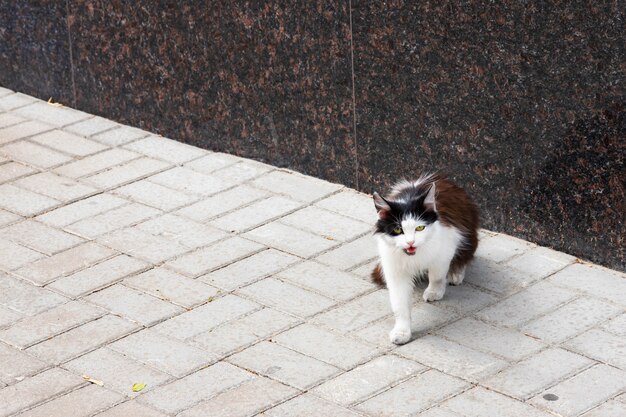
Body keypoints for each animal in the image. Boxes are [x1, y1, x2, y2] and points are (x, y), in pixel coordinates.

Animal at [370, 173, 478, 344]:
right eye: (398, 230)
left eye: (420, 228)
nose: (410, 242)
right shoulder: (394, 267)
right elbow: (399, 304)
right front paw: (402, 331)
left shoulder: (446, 247)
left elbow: (437, 276)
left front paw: (434, 291)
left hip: (469, 236)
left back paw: (456, 274)